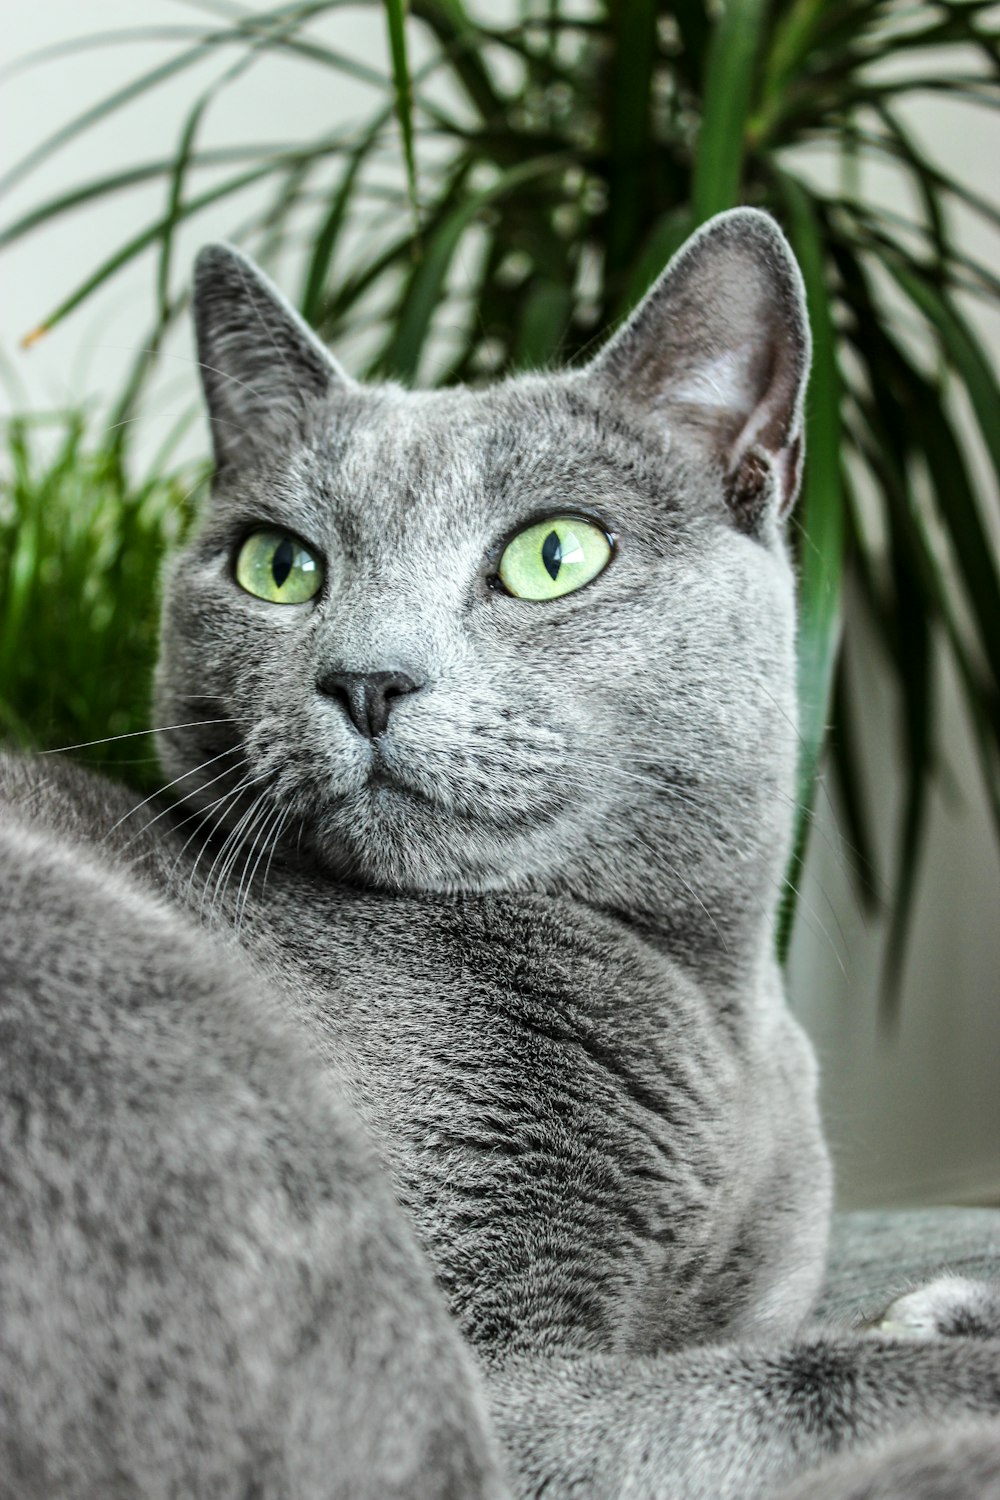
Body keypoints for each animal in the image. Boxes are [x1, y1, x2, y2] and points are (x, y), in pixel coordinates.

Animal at [1, 202, 1000, 1500]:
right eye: (281, 564)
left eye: (553, 554)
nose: (365, 676)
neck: (710, 1011)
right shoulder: (517, 1383)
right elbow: (821, 1379)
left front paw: (943, 1306)